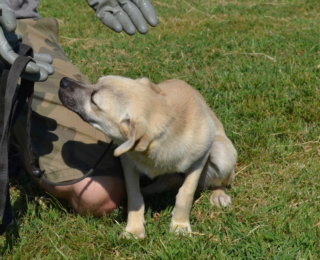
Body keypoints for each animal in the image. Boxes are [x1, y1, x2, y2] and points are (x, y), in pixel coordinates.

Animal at [58, 75, 236, 238]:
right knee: (167, 182)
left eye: (94, 101)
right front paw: (134, 229)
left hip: (222, 154)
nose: (63, 80)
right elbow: (134, 195)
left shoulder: (200, 158)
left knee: (217, 181)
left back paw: (218, 195)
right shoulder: (127, 161)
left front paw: (180, 225)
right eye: (96, 82)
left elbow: (186, 192)